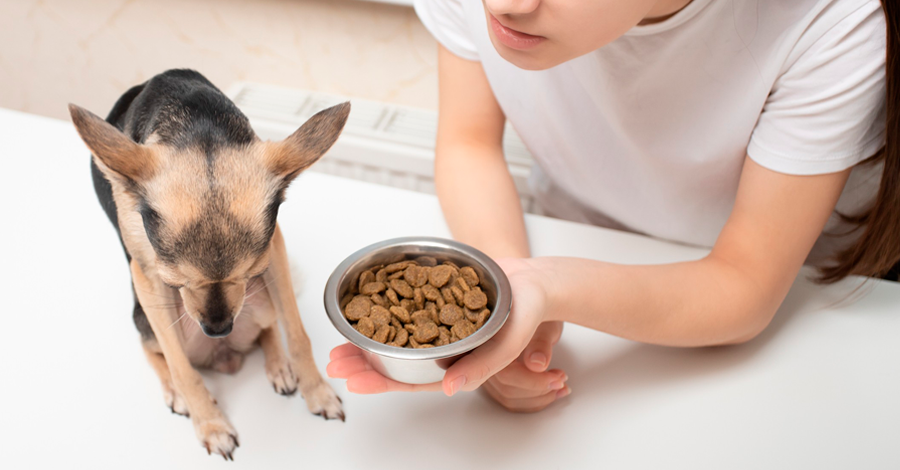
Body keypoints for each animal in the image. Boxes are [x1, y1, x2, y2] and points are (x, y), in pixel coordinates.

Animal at [67, 70, 346, 458]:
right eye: (175, 280)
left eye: (251, 272)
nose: (218, 330)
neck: (198, 128)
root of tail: (224, 356)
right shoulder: (148, 275)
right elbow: (182, 368)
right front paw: (211, 425)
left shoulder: (274, 249)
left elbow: (296, 331)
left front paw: (316, 391)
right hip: (147, 316)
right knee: (154, 349)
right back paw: (174, 391)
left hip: (260, 301)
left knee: (269, 327)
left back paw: (279, 365)